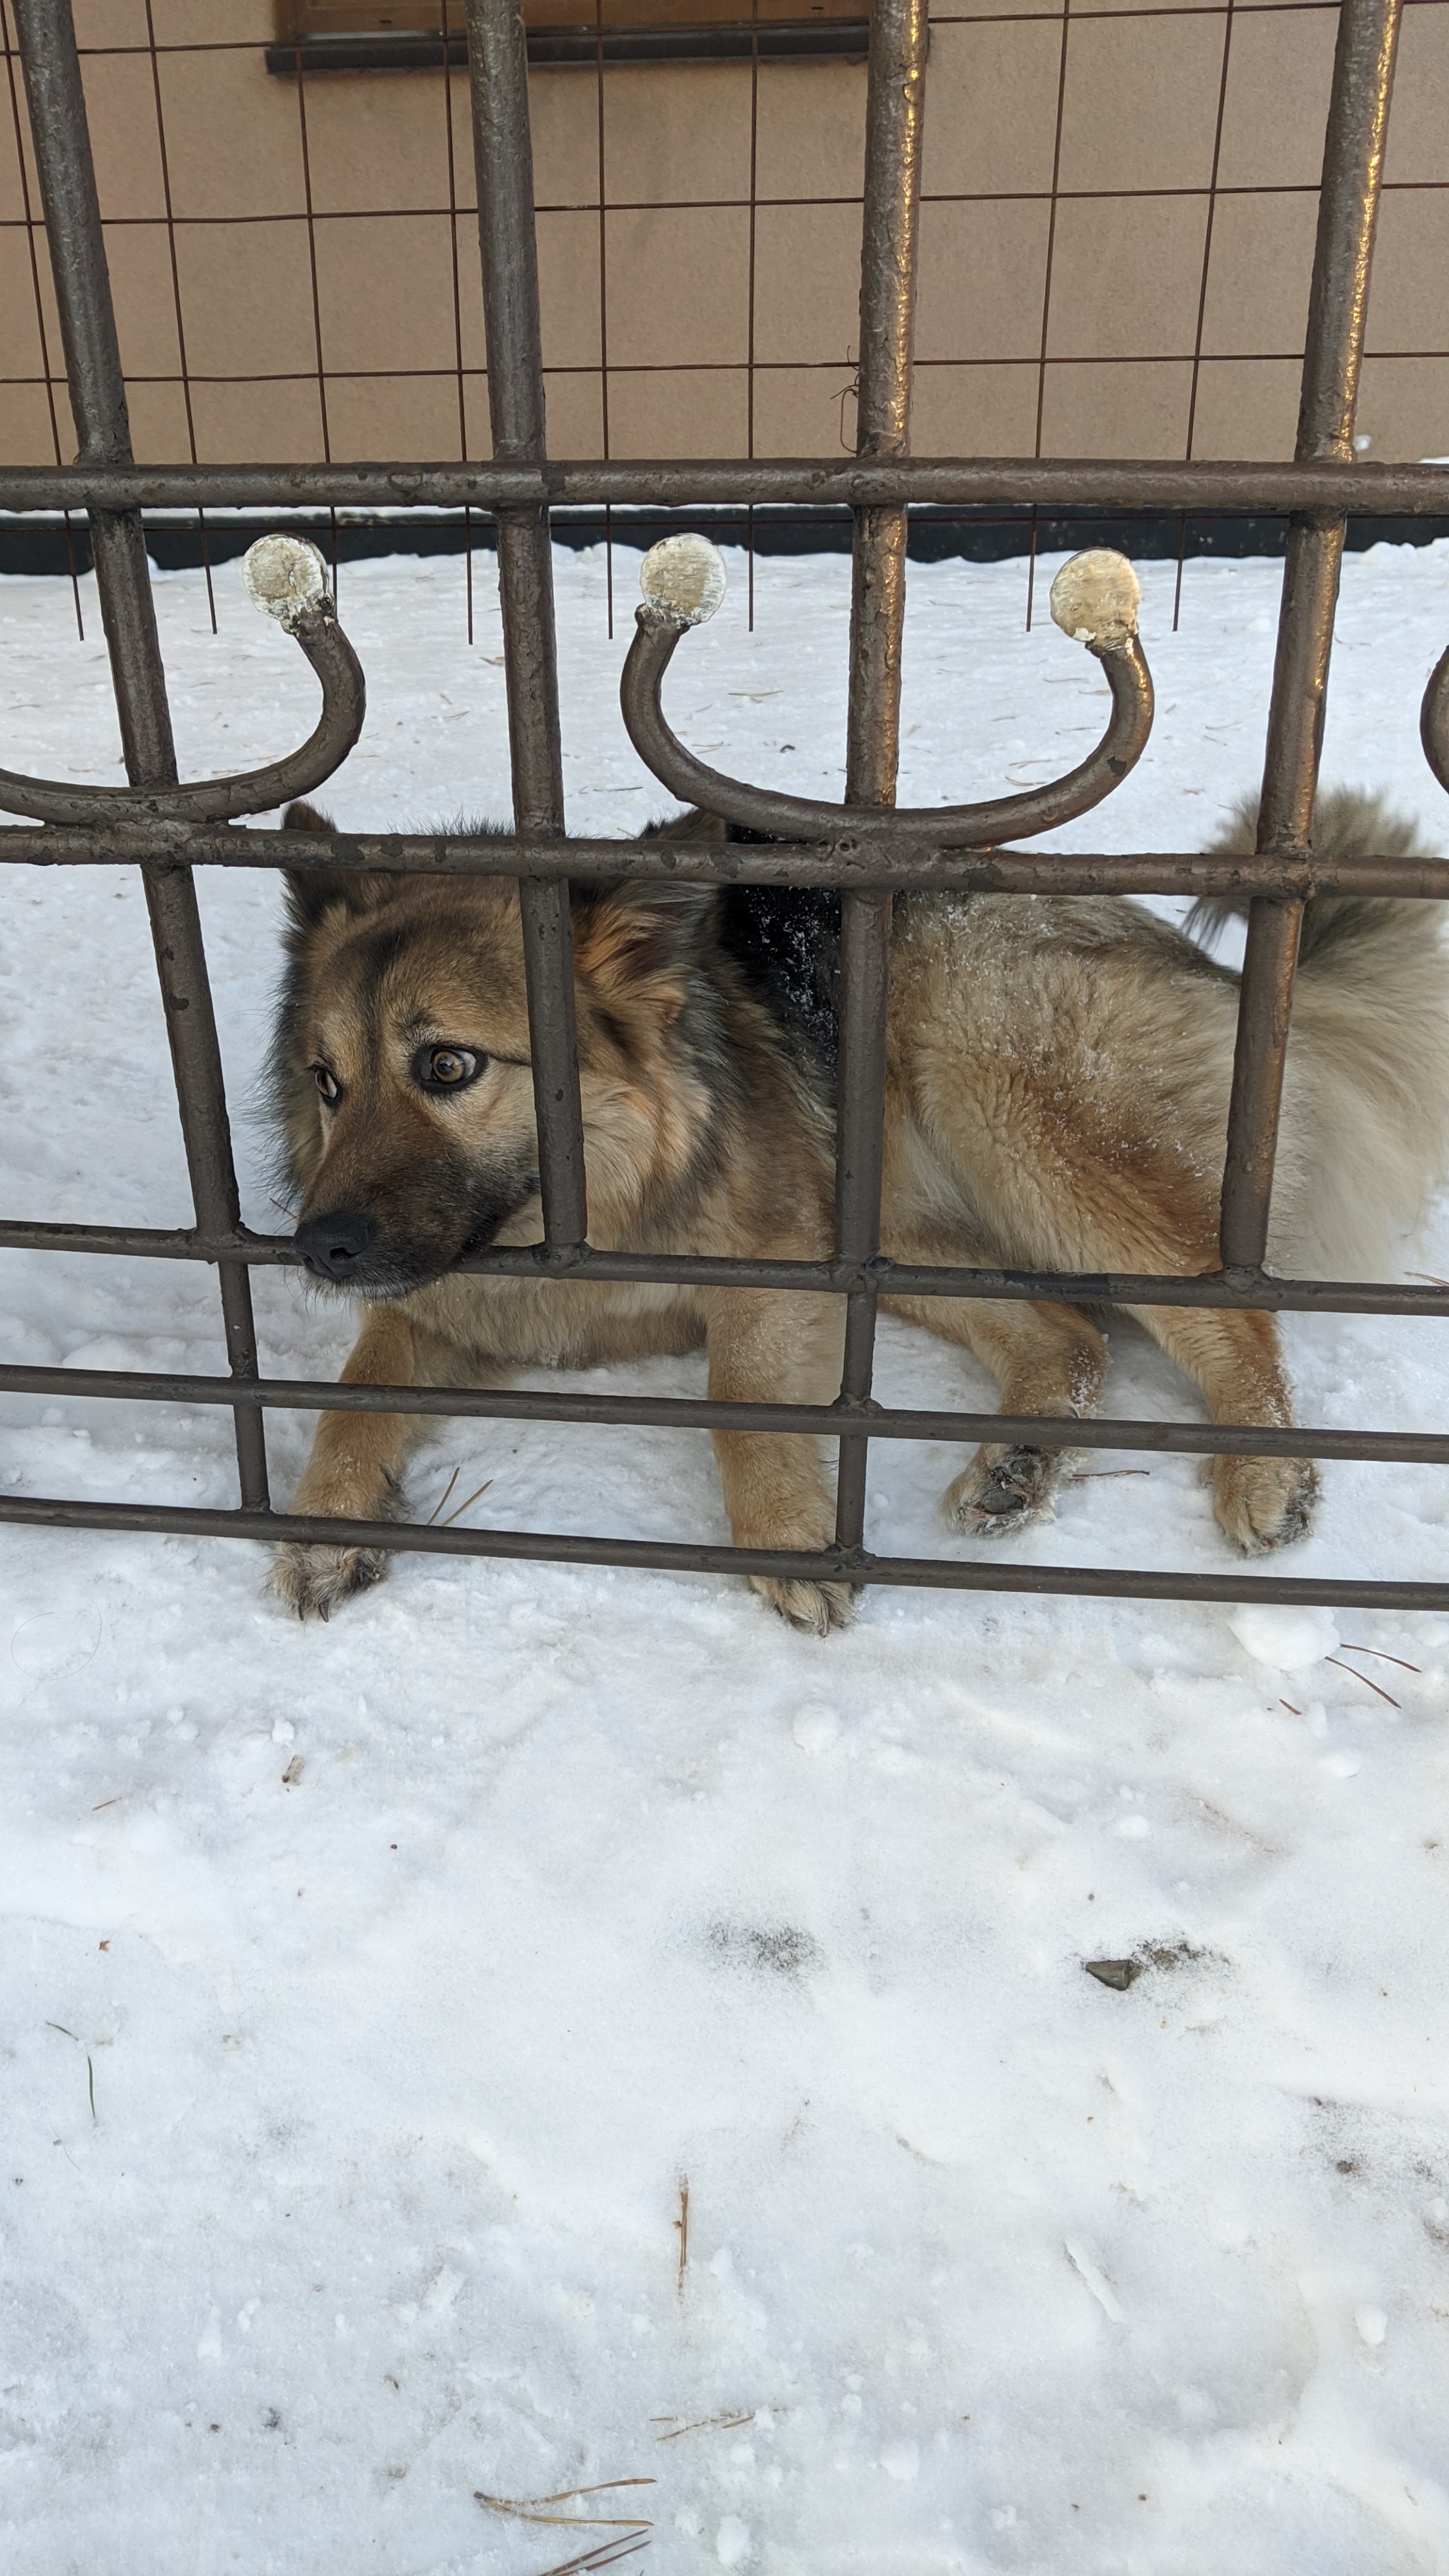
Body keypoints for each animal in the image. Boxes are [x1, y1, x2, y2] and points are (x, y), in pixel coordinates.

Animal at [267, 788, 1443, 1628]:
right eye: (327, 1081)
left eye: (448, 1065)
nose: (320, 1250)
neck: (600, 1198)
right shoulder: (444, 1297)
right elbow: (355, 1394)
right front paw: (325, 1519)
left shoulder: (779, 1265)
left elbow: (738, 1399)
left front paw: (789, 1537)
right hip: (888, 1209)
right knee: (1067, 1334)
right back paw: (1020, 1461)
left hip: (997, 1094)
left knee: (1224, 1302)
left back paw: (1263, 1465)